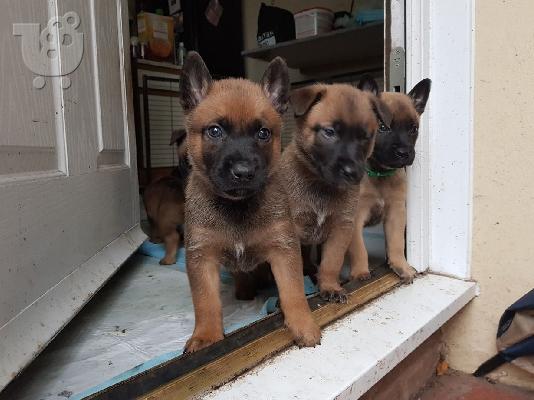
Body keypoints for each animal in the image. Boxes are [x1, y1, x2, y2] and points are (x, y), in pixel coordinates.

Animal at [180, 51, 322, 352]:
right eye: (214, 131)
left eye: (263, 133)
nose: (243, 172)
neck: (237, 208)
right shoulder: (202, 258)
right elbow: (206, 303)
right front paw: (206, 336)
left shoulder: (283, 250)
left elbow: (293, 292)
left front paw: (303, 324)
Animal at [280, 85, 390, 304]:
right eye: (329, 132)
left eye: (365, 136)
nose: (352, 172)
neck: (322, 186)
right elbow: (292, 272)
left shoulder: (341, 228)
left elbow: (332, 261)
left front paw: (330, 286)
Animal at [350, 76, 434, 282]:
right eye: (382, 127)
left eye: (413, 129)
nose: (404, 153)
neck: (379, 173)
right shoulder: (354, 218)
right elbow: (359, 247)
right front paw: (360, 271)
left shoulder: (396, 213)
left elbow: (396, 243)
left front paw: (401, 266)